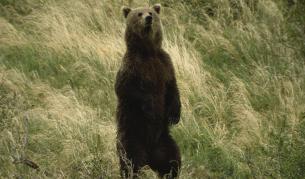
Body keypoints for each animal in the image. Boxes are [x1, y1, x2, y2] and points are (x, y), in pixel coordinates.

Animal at [114, 3, 180, 179]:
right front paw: (151, 108)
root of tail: (150, 157)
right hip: (132, 136)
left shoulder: (165, 64)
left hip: (164, 142)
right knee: (131, 163)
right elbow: (128, 90)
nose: (148, 18)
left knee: (173, 162)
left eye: (151, 12)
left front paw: (174, 116)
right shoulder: (133, 68)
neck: (147, 52)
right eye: (139, 14)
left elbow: (172, 88)